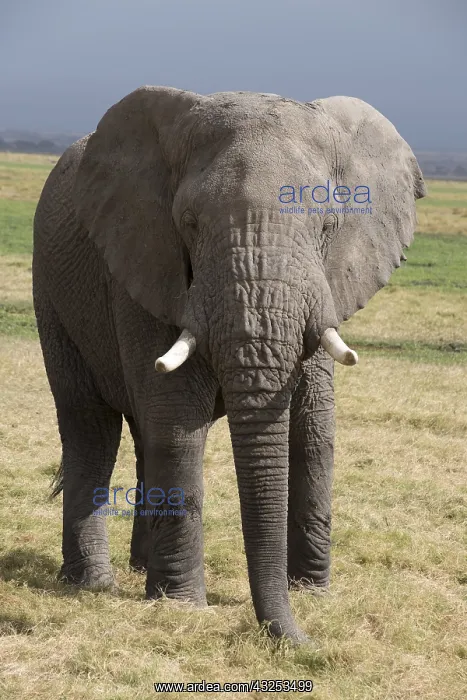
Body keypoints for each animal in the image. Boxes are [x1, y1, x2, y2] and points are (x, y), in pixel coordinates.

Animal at [32, 86, 426, 643]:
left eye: (328, 225)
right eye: (190, 225)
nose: (300, 642)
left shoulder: (326, 285)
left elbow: (314, 432)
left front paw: (313, 595)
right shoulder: (147, 261)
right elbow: (178, 426)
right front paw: (182, 608)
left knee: (140, 434)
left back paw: (140, 572)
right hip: (52, 291)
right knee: (91, 426)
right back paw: (94, 584)